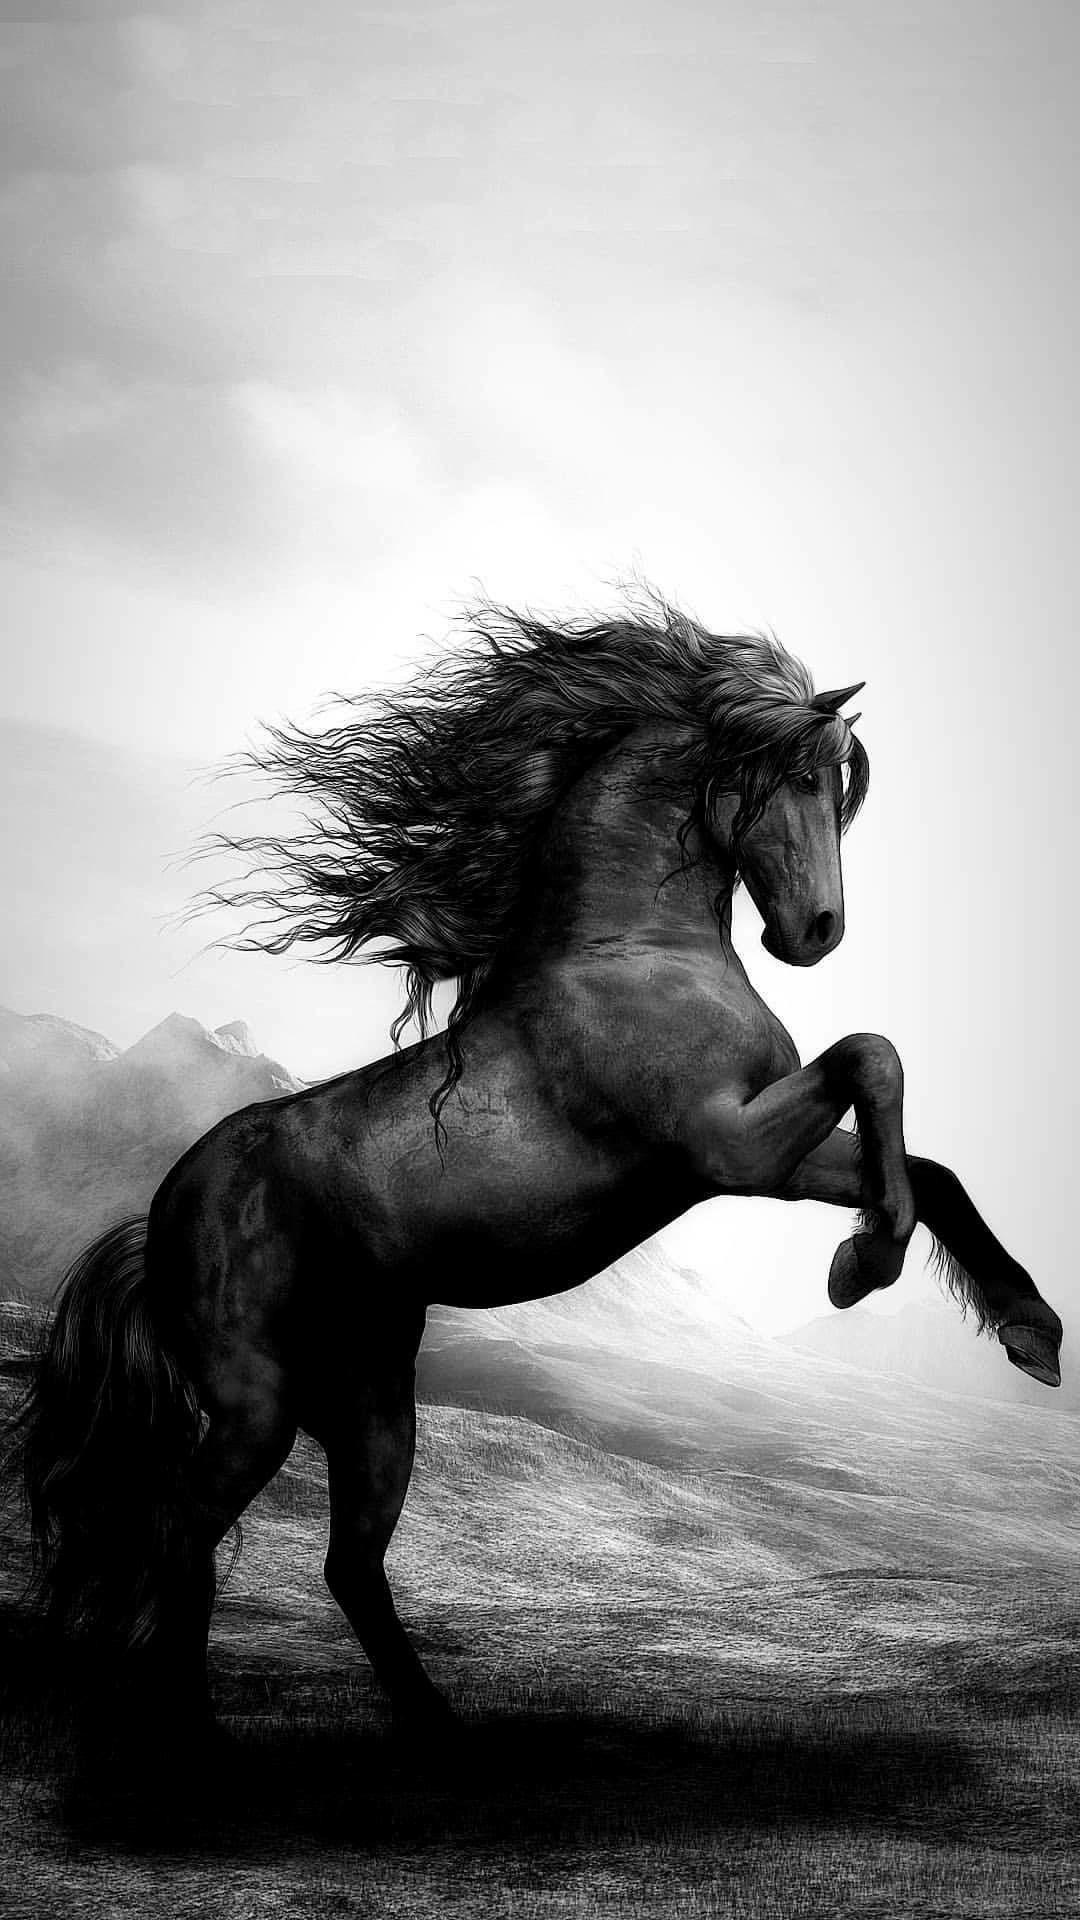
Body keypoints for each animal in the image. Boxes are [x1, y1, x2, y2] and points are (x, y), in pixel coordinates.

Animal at [14, 590, 1063, 1758]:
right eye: (797, 777)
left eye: (842, 787)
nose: (816, 933)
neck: (629, 952)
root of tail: (161, 1215)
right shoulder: (723, 1148)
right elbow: (874, 1057)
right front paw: (865, 1265)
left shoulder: (763, 1158)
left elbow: (928, 1165)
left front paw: (1022, 1329)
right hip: (255, 1403)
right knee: (178, 1534)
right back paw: (199, 1740)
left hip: (371, 1398)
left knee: (346, 1564)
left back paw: (442, 1736)